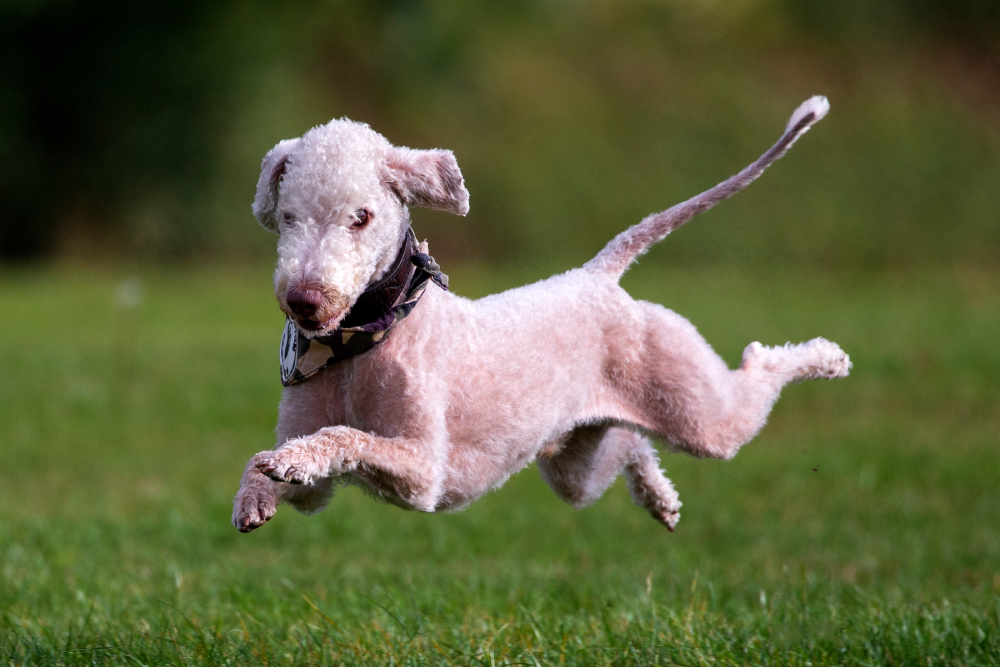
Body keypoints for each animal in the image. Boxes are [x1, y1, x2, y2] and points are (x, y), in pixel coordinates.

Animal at [234, 95, 852, 532]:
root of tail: (597, 276)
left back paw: (827, 358)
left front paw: (295, 459)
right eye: (288, 216)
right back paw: (660, 499)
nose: (304, 300)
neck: (364, 337)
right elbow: (275, 460)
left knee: (754, 373)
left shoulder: (423, 469)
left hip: (696, 409)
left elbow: (344, 436)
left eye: (360, 217)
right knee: (627, 447)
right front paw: (257, 492)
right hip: (575, 457)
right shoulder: (318, 490)